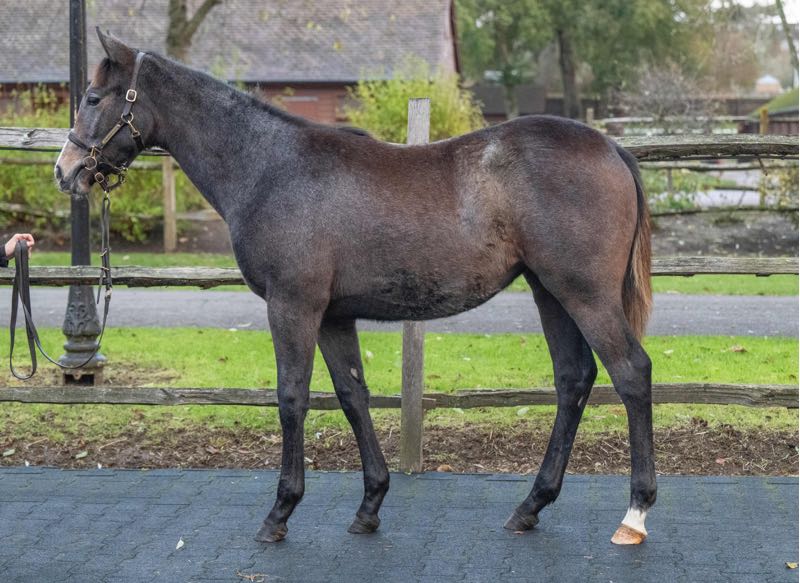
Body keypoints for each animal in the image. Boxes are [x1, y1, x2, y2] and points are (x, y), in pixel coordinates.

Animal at [56, 30, 655, 546]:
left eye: (93, 96)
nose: (67, 172)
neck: (269, 167)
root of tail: (611, 148)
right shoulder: (333, 315)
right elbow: (352, 394)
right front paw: (370, 506)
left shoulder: (293, 305)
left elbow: (292, 397)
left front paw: (280, 512)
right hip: (549, 291)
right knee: (573, 380)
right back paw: (530, 506)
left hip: (584, 294)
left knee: (631, 372)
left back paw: (635, 513)